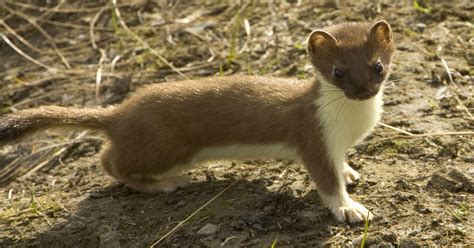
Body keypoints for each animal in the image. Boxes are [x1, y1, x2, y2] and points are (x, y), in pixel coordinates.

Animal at [0, 20, 392, 223]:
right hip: (164, 147)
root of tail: (121, 110)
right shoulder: (312, 138)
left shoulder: (336, 144)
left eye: (377, 66)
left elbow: (340, 165)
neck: (352, 124)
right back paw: (167, 183)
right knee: (110, 162)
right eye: (337, 72)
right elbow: (326, 181)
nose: (363, 91)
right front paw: (351, 209)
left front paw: (350, 172)